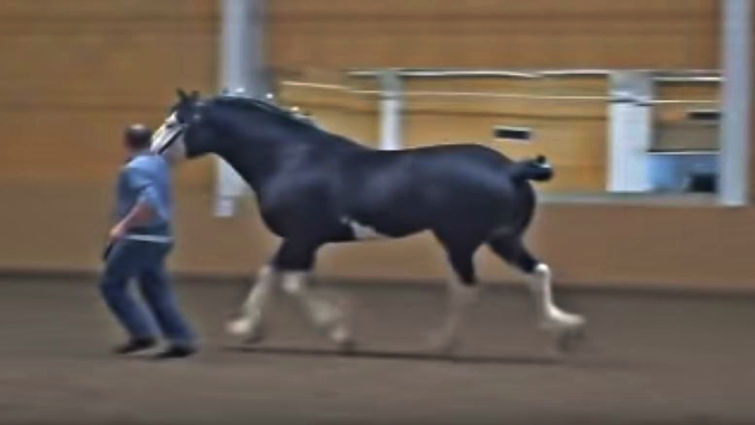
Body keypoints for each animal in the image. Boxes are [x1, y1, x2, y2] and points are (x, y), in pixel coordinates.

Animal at [150, 89, 586, 354]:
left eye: (174, 123)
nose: (151, 152)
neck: (290, 157)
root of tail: (512, 169)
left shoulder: (300, 237)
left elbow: (285, 280)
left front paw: (334, 332)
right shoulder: (304, 240)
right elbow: (279, 276)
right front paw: (254, 329)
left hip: (460, 241)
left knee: (467, 287)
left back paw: (440, 343)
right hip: (502, 238)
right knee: (537, 273)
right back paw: (563, 331)